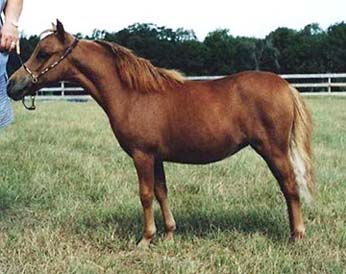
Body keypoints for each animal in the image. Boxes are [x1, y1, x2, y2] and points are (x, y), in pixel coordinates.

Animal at [6, 20, 314, 248]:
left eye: (43, 53)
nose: (12, 85)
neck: (132, 94)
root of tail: (286, 86)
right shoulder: (156, 157)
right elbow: (161, 192)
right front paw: (168, 234)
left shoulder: (142, 155)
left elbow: (145, 194)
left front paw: (145, 239)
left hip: (273, 150)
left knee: (290, 187)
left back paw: (297, 236)